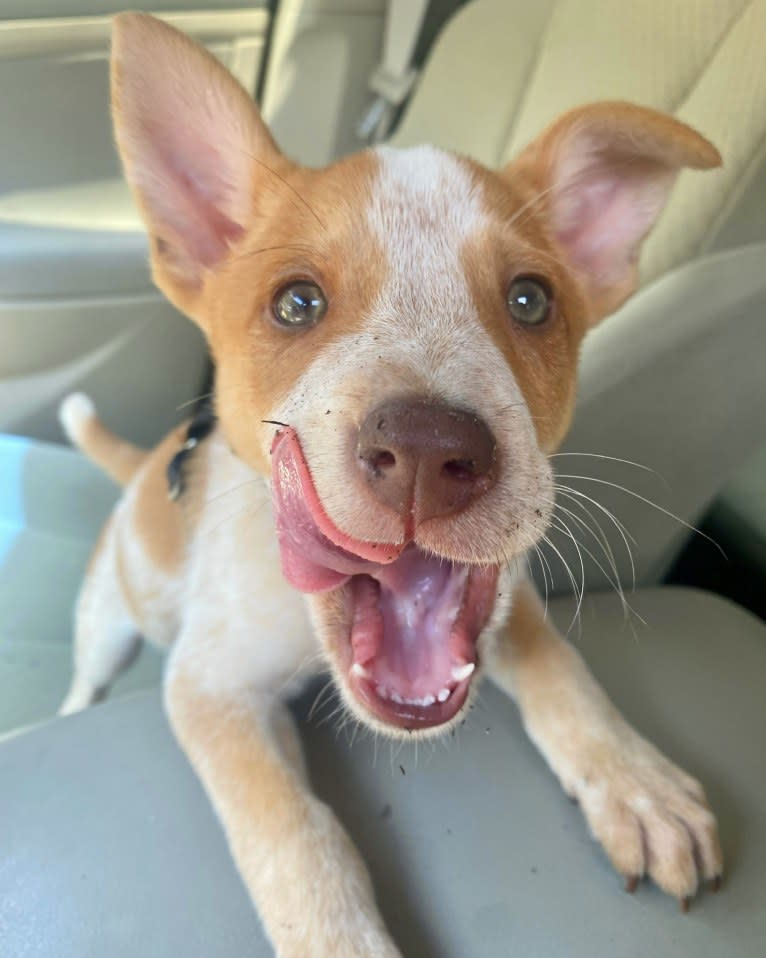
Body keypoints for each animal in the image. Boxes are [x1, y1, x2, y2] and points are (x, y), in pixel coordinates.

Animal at [60, 15, 728, 958]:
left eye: (531, 300)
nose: (425, 450)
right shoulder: (211, 689)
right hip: (106, 625)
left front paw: (637, 784)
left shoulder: (505, 594)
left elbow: (565, 670)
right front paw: (340, 935)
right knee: (87, 673)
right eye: (296, 303)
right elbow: (294, 837)